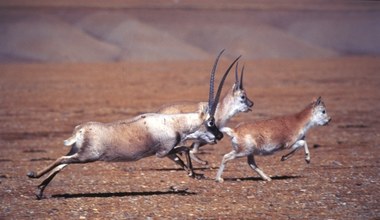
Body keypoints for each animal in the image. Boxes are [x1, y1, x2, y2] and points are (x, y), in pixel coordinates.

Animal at [28, 51, 239, 199]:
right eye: (210, 121)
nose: (220, 136)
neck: (175, 123)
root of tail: (80, 130)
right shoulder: (163, 151)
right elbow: (185, 149)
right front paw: (193, 173)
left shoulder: (168, 153)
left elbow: (180, 157)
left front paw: (193, 174)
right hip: (86, 156)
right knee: (60, 160)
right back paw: (33, 175)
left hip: (78, 153)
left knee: (62, 162)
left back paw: (39, 190)